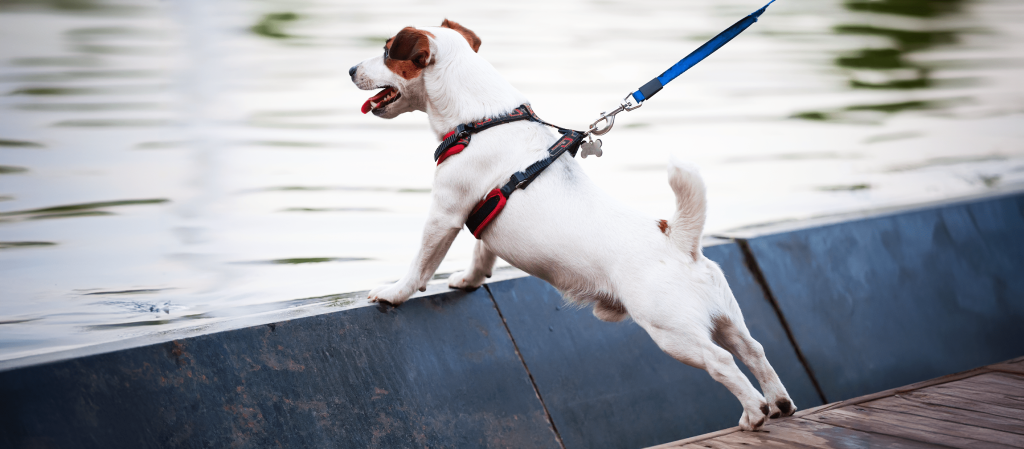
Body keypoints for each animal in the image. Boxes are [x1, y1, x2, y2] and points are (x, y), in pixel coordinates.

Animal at [352, 19, 798, 430]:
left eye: (388, 51)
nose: (351, 68)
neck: (482, 120)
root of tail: (679, 242)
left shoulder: (444, 214)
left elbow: (421, 264)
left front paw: (394, 293)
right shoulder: (484, 219)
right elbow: (483, 253)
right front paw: (469, 279)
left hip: (673, 332)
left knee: (721, 361)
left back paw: (754, 413)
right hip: (724, 318)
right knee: (754, 350)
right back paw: (779, 402)